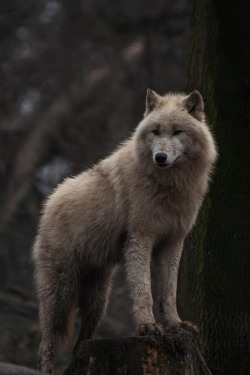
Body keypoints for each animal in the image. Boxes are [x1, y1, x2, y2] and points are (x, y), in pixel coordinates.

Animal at [32, 88, 217, 374]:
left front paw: (176, 325)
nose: (160, 158)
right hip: (60, 295)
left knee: (82, 341)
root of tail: (50, 202)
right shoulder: (140, 239)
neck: (169, 186)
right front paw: (147, 327)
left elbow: (168, 292)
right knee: (46, 344)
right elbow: (144, 291)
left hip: (98, 299)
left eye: (177, 132)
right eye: (156, 131)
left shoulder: (173, 242)